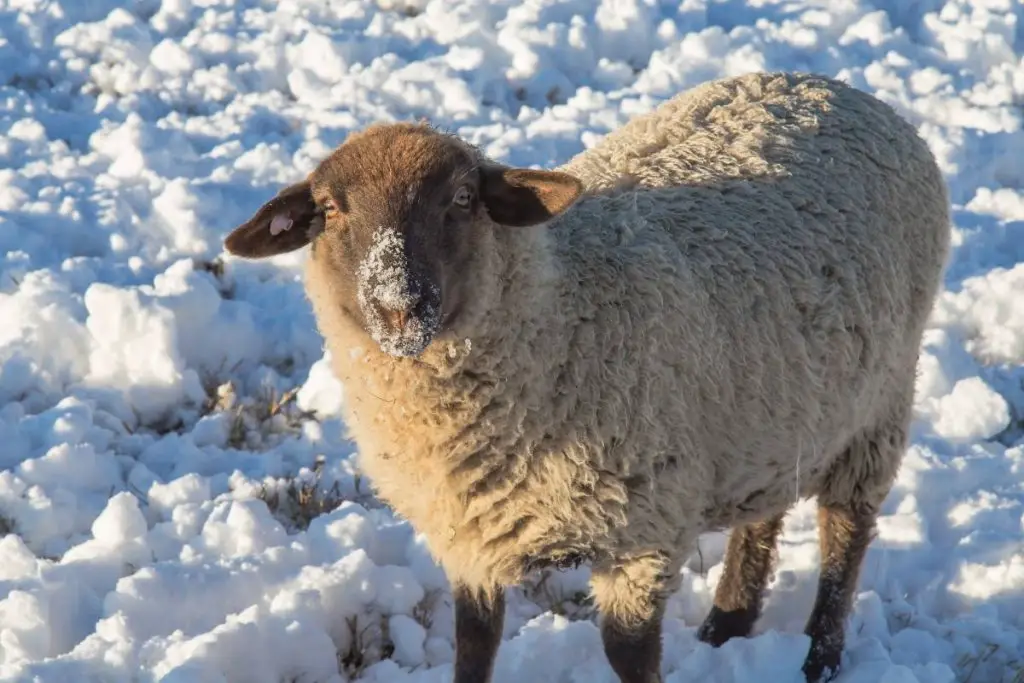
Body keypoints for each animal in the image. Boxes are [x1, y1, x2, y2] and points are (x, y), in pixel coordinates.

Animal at [222, 70, 950, 683]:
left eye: (463, 198)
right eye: (330, 208)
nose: (398, 304)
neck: (558, 306)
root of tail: (839, 89)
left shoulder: (644, 528)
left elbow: (627, 654)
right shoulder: (468, 532)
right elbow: (474, 644)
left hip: (880, 400)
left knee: (845, 528)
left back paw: (817, 657)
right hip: (778, 408)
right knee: (765, 512)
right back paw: (727, 623)